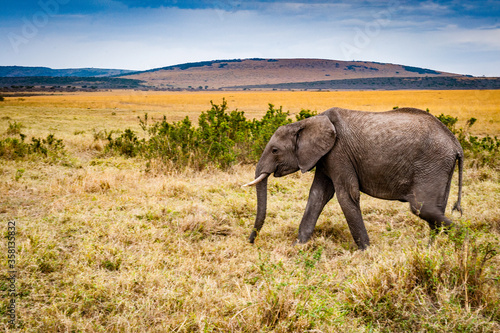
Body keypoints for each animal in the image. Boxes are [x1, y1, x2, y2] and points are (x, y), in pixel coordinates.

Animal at [244, 106, 462, 249]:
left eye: (274, 150)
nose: (251, 241)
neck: (307, 122)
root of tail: (455, 143)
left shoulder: (339, 152)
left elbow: (346, 195)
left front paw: (366, 251)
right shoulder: (326, 157)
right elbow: (317, 196)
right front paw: (297, 247)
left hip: (432, 163)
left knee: (421, 207)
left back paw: (464, 239)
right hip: (440, 167)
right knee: (434, 209)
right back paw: (432, 250)